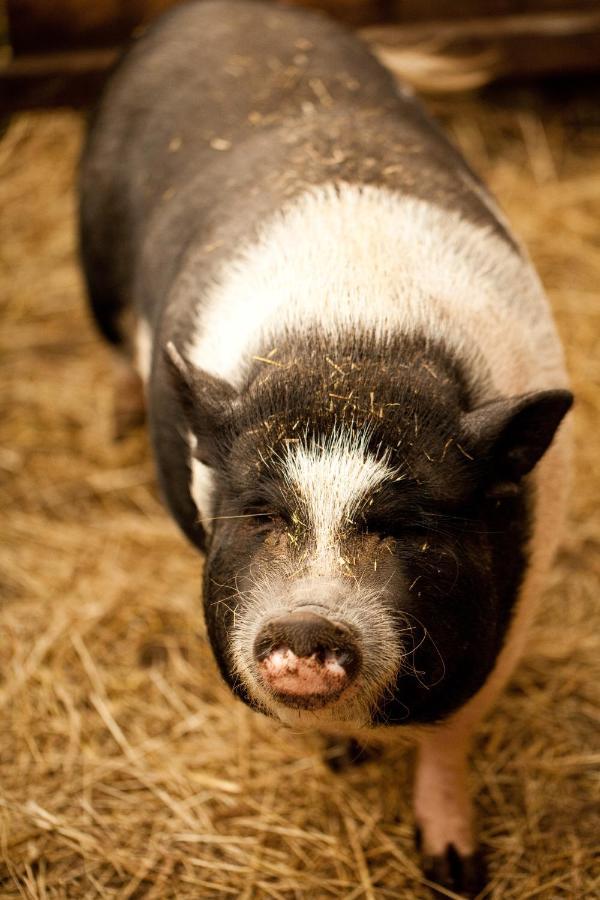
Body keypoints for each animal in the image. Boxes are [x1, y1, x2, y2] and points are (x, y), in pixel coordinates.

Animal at [78, 3, 572, 896]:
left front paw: (456, 869)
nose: (309, 625)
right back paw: (114, 421)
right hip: (94, 266)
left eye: (410, 526)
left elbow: (452, 735)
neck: (356, 342)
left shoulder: (514, 609)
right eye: (262, 514)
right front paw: (343, 759)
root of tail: (217, 10)